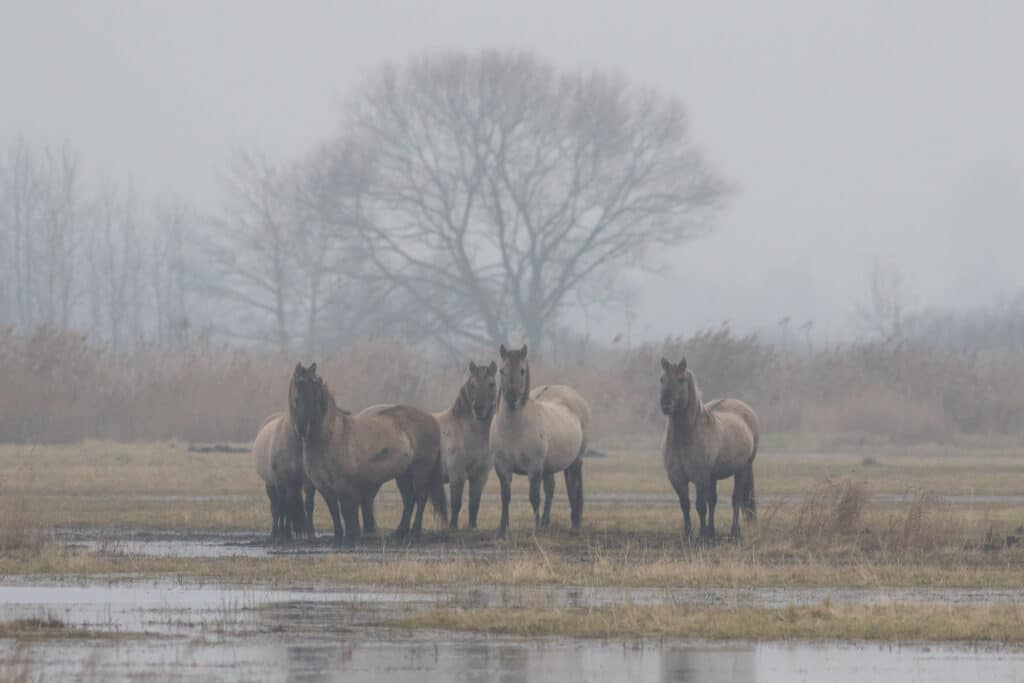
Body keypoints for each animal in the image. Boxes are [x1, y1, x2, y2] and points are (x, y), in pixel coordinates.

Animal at [251, 411, 315, 541]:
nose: (302, 428)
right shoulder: (281, 483)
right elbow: (282, 507)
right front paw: (281, 534)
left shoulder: (306, 482)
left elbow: (308, 505)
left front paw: (310, 534)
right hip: (271, 485)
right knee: (276, 506)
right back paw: (276, 533)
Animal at [289, 362, 447, 547]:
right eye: (296, 396)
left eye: (315, 396)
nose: (302, 428)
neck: (332, 437)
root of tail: (433, 420)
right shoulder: (325, 488)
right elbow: (334, 512)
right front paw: (337, 539)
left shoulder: (345, 486)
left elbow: (347, 512)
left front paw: (350, 539)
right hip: (403, 473)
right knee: (409, 499)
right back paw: (399, 533)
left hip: (421, 469)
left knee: (421, 497)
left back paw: (414, 533)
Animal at [435, 361, 497, 529]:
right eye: (473, 384)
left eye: (491, 384)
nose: (478, 409)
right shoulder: (457, 474)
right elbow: (456, 503)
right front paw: (453, 527)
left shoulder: (480, 475)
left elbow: (474, 503)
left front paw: (472, 526)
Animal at [489, 344, 590, 537]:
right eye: (502, 370)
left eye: (522, 371)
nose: (512, 398)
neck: (513, 429)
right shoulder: (502, 467)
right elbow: (505, 497)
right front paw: (502, 530)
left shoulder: (534, 468)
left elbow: (534, 497)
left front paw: (535, 529)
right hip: (549, 468)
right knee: (551, 490)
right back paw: (545, 523)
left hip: (575, 461)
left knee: (574, 487)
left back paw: (575, 523)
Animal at [659, 357, 759, 542]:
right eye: (662, 379)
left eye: (681, 380)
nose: (665, 404)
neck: (684, 438)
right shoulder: (677, 478)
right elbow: (685, 505)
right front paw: (689, 534)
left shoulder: (701, 477)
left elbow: (700, 506)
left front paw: (703, 536)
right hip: (713, 477)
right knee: (713, 500)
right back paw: (713, 531)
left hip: (742, 469)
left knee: (736, 499)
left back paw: (734, 532)